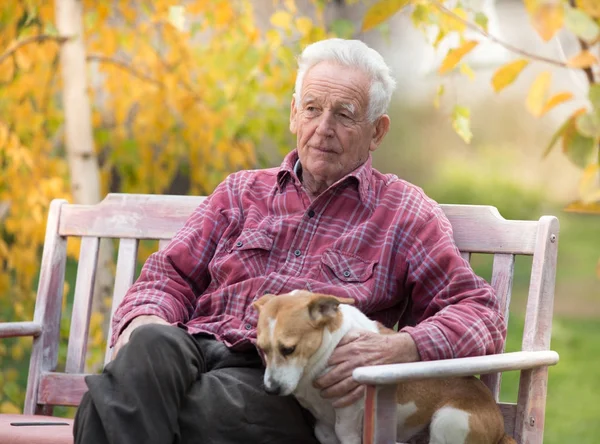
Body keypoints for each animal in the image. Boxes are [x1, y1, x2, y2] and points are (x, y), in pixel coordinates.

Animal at [253, 290, 516, 444]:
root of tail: (501, 431)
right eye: (262, 348)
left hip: (449, 420)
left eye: (289, 349)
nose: (270, 390)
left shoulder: (347, 422)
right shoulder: (324, 429)